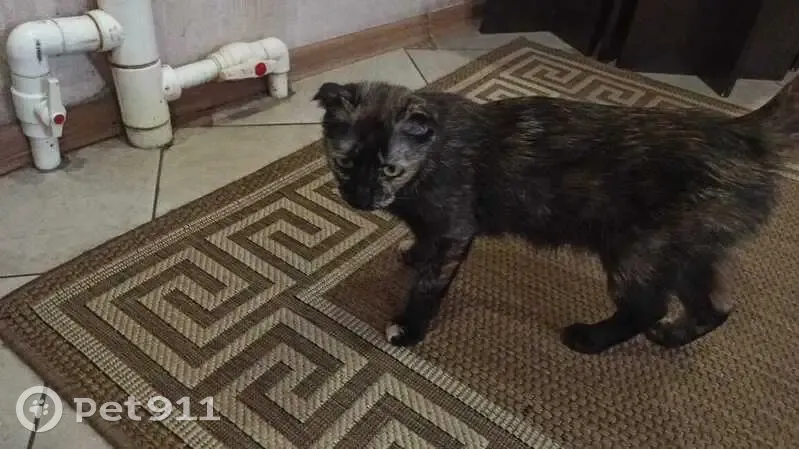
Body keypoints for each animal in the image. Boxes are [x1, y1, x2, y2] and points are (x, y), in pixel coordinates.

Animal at [312, 77, 798, 355]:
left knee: (647, 306)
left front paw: (409, 327)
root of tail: (740, 130)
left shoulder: (455, 228)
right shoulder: (434, 227)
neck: (429, 154)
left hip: (638, 252)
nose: (361, 198)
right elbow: (423, 245)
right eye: (345, 163)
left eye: (390, 169)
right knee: (715, 306)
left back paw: (590, 340)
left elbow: (430, 284)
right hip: (690, 251)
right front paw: (413, 253)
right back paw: (672, 337)